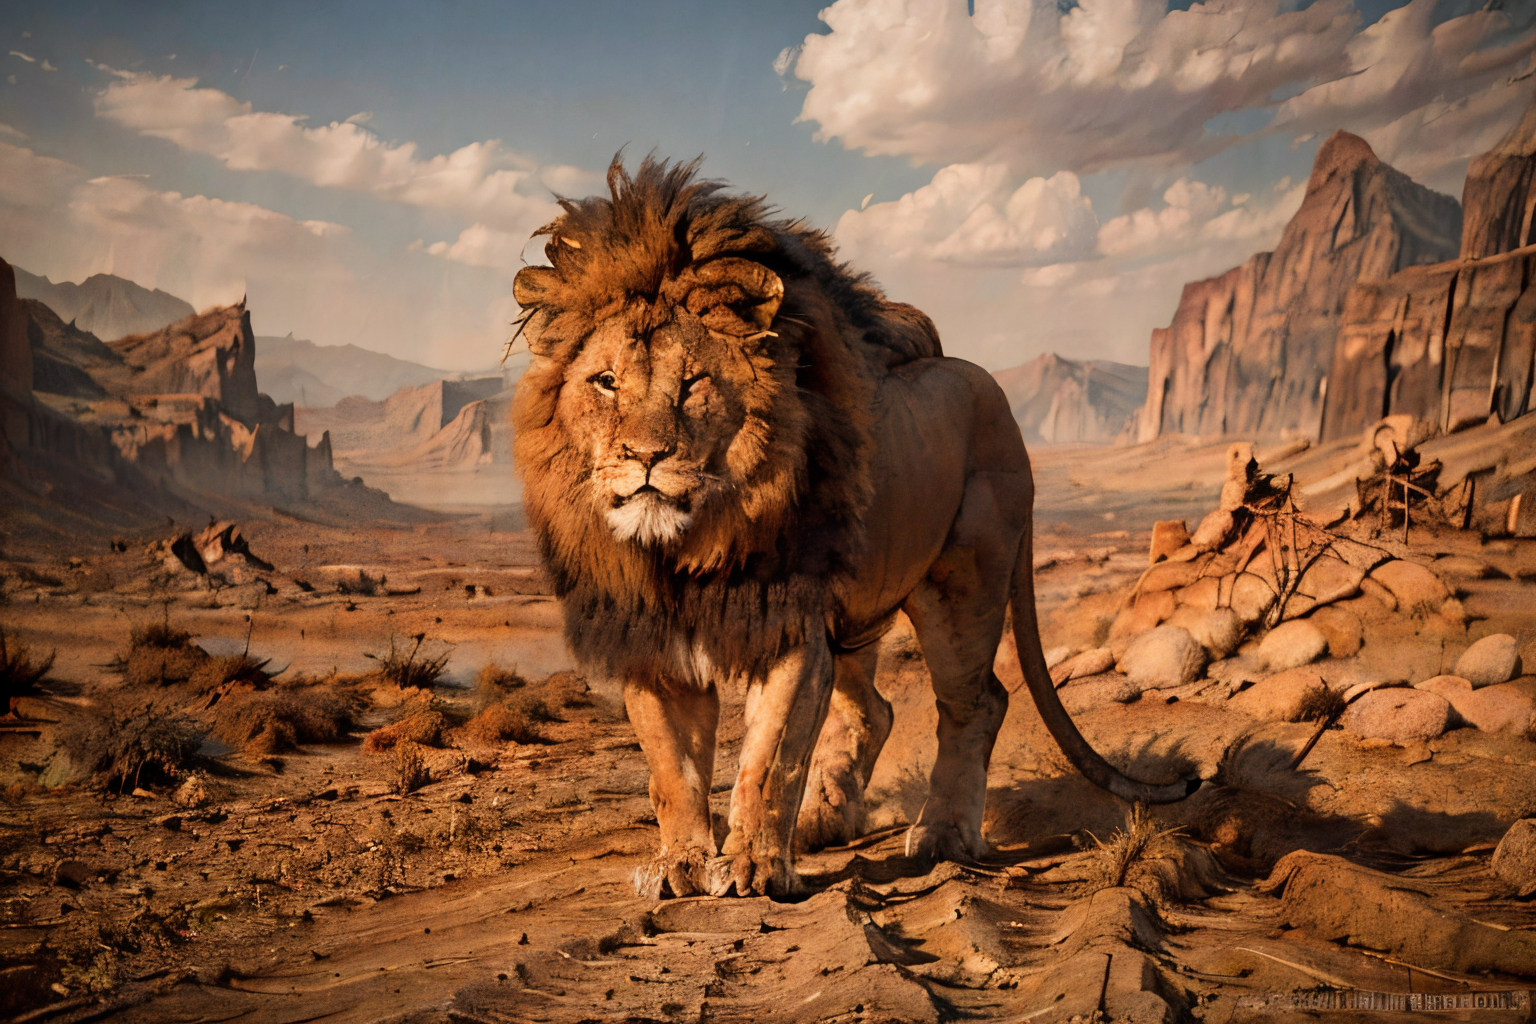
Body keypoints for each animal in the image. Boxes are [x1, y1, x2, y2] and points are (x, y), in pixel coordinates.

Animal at [510, 157, 1198, 899]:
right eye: (605, 382)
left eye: (693, 384)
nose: (645, 455)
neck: (684, 552)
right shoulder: (653, 641)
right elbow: (674, 770)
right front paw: (683, 864)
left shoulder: (789, 625)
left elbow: (768, 760)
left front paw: (752, 866)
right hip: (857, 612)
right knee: (874, 710)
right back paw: (824, 821)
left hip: (960, 582)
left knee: (976, 700)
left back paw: (941, 835)